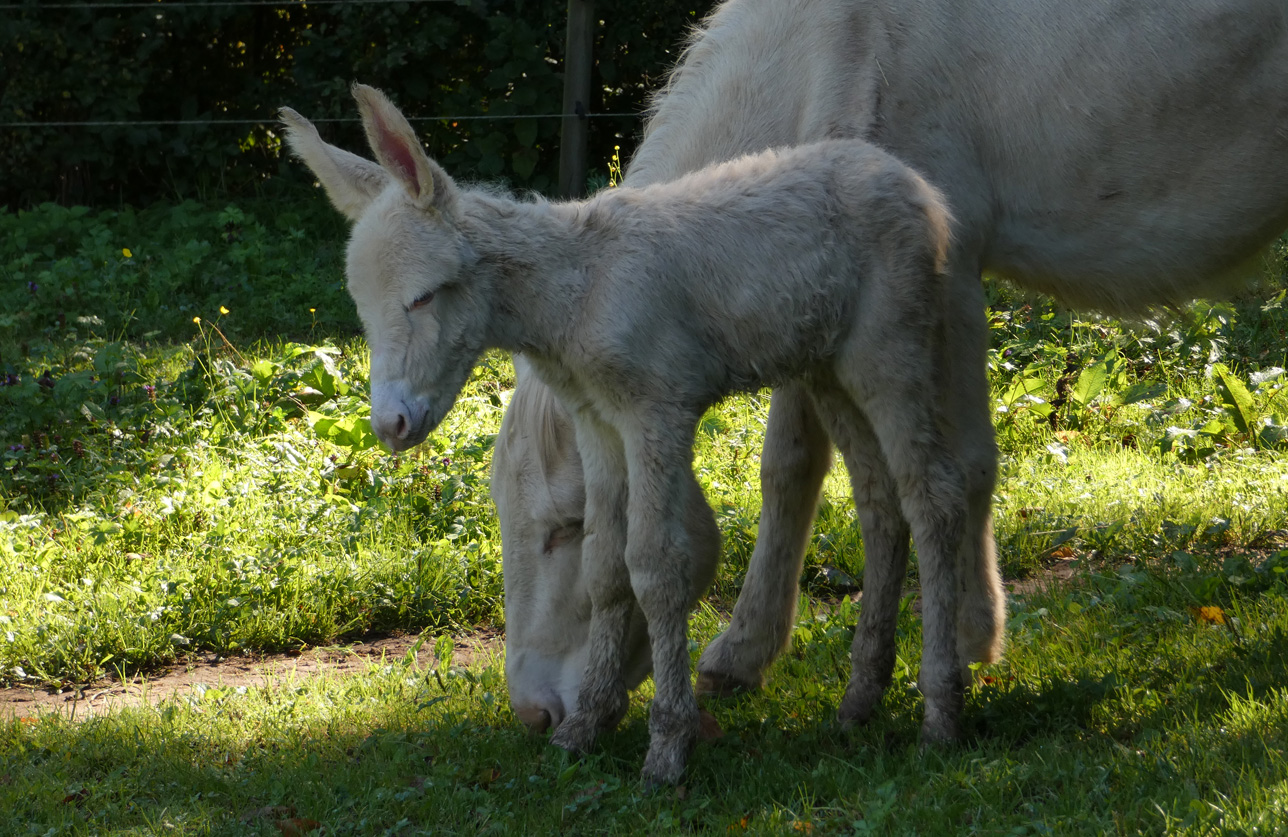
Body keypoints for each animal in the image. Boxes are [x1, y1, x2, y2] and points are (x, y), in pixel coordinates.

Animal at [284, 84, 968, 782]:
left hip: (890, 348)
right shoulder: (598, 422)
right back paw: (861, 701)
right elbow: (607, 568)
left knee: (933, 499)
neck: (578, 290)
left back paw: (941, 713)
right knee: (880, 506)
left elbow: (657, 568)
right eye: (363, 310)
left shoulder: (656, 413)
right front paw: (583, 728)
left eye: (424, 298)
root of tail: (913, 184)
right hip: (829, 367)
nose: (390, 425)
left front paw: (668, 748)